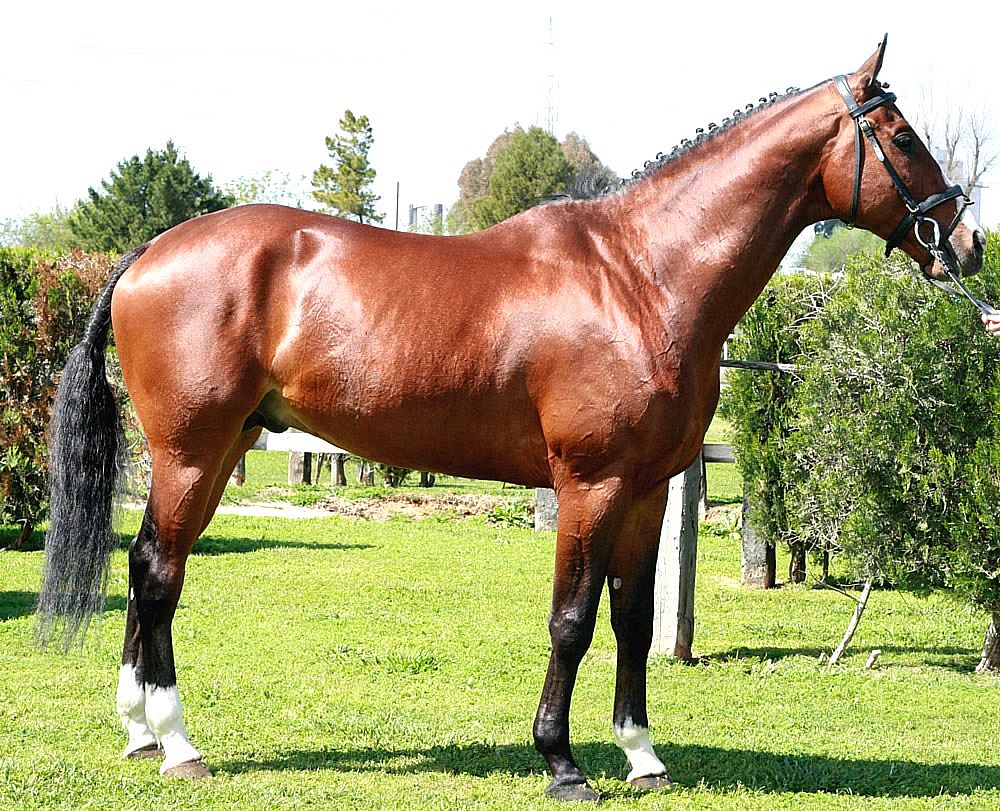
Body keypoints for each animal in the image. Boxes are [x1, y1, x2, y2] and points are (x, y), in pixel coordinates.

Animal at [38, 36, 985, 801]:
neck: (642, 274)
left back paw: (139, 731)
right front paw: (561, 761)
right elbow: (572, 620)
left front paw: (642, 755)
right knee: (161, 573)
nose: (966, 245)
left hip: (217, 448)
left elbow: (632, 620)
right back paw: (177, 743)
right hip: (192, 451)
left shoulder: (647, 490)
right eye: (902, 137)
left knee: (147, 567)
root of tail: (149, 253)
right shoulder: (591, 484)